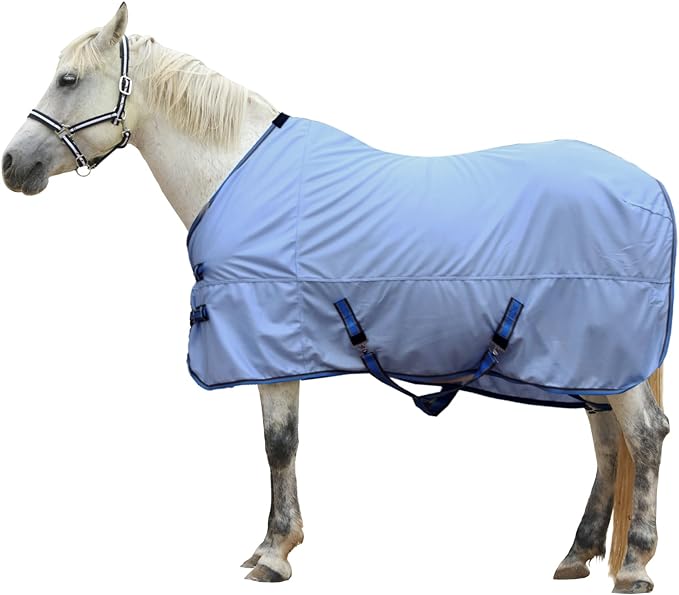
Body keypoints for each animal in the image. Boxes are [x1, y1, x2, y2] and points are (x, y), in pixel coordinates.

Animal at [1, 4, 671, 592]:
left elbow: (279, 444)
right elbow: (280, 443)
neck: (234, 170)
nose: (12, 165)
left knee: (644, 437)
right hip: (589, 362)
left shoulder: (270, 345)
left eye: (67, 80)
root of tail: (652, 191)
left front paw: (275, 553)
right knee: (607, 442)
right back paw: (578, 554)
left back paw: (635, 565)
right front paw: (272, 546)